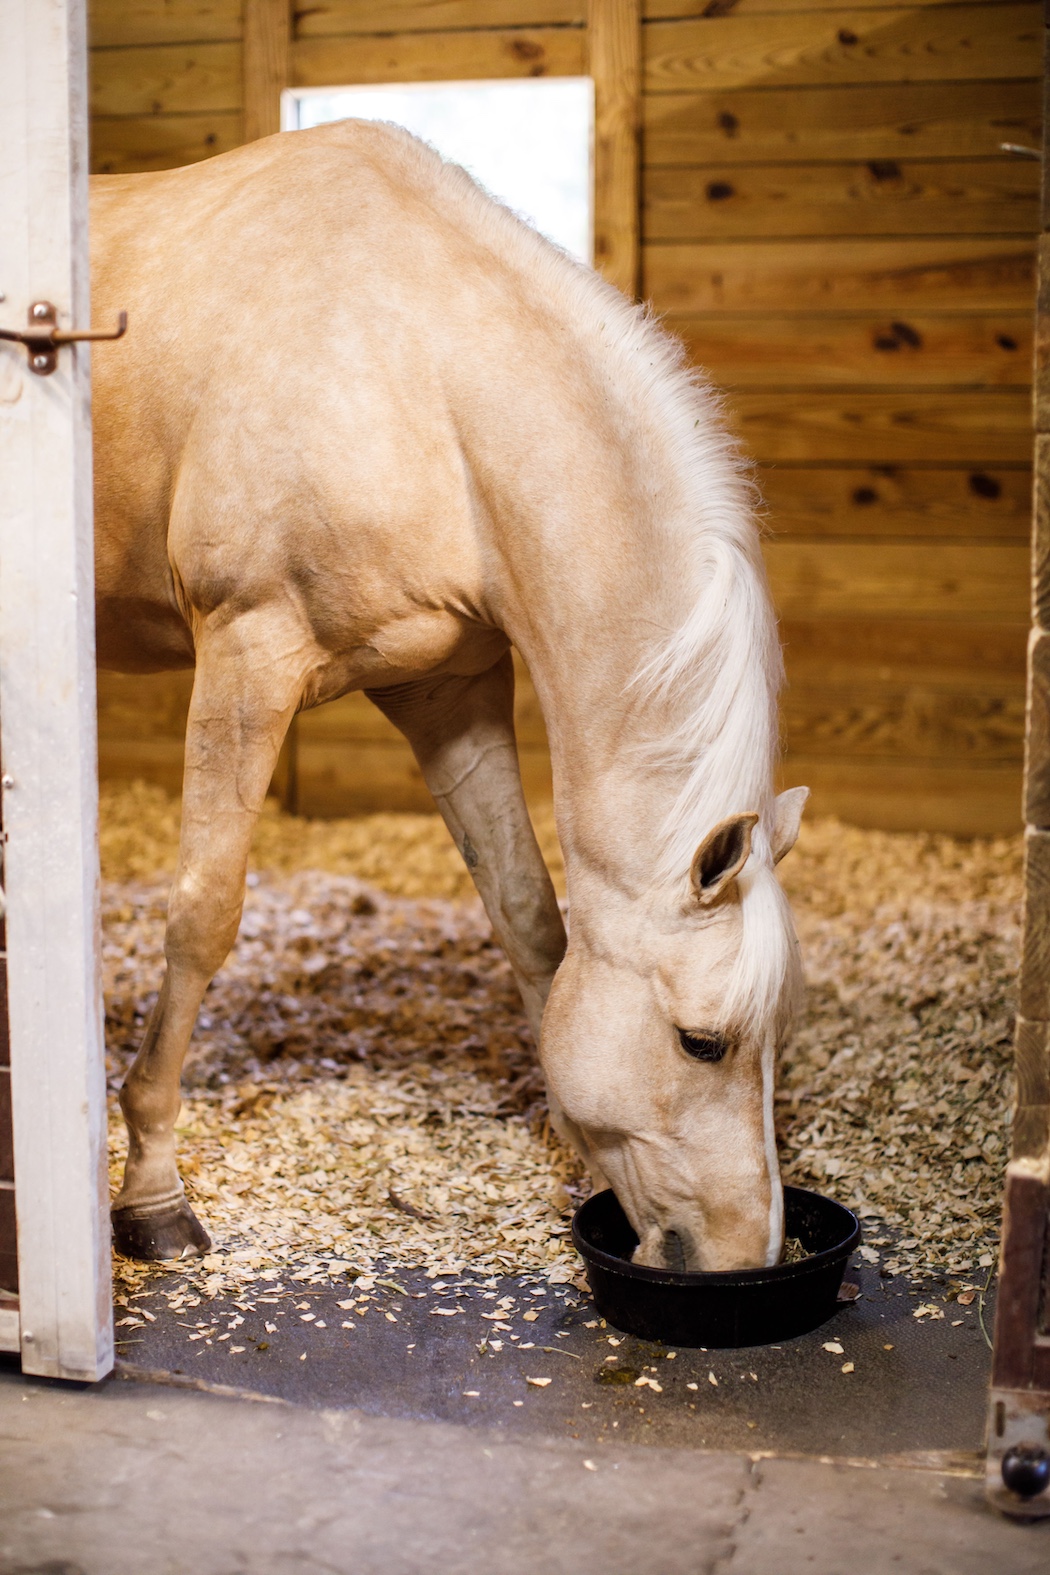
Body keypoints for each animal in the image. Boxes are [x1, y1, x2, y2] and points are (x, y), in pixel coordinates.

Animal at [89, 119, 807, 1274]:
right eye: (703, 1042)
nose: (745, 1258)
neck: (416, 378)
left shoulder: (447, 687)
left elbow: (527, 913)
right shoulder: (247, 653)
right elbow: (203, 915)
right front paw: (150, 1190)